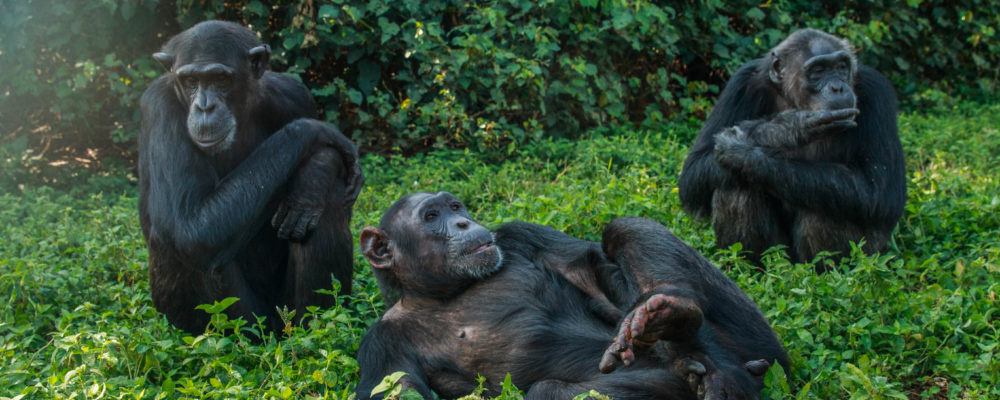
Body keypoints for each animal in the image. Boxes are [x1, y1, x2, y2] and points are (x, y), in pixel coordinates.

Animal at [137, 20, 364, 336]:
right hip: (240, 320)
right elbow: (189, 226)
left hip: (283, 311)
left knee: (328, 204)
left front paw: (313, 179)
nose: (204, 106)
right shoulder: (159, 106)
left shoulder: (295, 94)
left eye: (221, 79)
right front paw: (316, 131)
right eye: (191, 81)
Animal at [356, 192, 784, 398]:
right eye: (431, 217)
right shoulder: (380, 347)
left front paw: (662, 313)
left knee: (623, 228)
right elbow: (398, 392)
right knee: (548, 392)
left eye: (455, 206)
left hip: (757, 343)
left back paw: (681, 323)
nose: (463, 221)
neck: (447, 291)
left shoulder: (520, 235)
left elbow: (591, 270)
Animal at [680, 29, 908, 268]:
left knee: (830, 196)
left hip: (865, 255)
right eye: (818, 71)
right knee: (734, 185)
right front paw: (791, 126)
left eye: (841, 67)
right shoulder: (741, 84)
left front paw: (742, 152)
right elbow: (693, 172)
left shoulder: (877, 92)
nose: (837, 87)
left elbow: (879, 190)